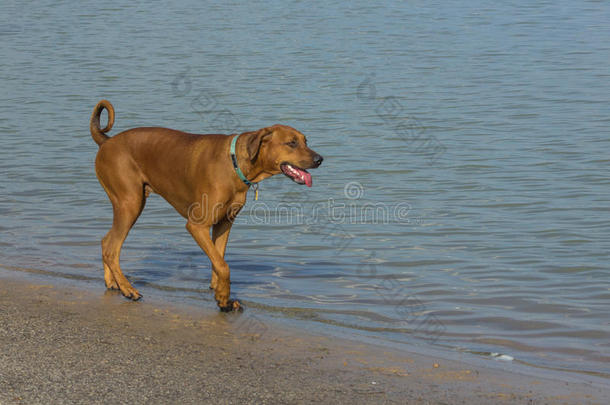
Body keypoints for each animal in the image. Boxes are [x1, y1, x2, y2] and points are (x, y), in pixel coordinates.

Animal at [89, 99, 324, 310]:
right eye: (291, 143)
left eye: (306, 141)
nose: (320, 159)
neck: (235, 163)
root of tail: (107, 141)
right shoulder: (197, 225)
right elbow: (224, 266)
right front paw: (223, 298)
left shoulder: (224, 222)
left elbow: (219, 259)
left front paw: (221, 294)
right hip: (131, 202)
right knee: (111, 248)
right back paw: (128, 289)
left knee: (105, 241)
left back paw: (112, 283)